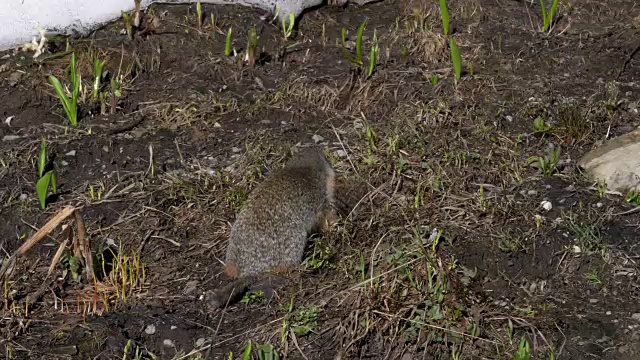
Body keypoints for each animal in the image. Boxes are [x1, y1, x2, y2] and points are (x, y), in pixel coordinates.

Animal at [211, 145, 340, 308]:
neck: (301, 167)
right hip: (292, 244)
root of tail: (250, 270)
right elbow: (327, 217)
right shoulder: (323, 198)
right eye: (326, 158)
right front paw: (336, 223)